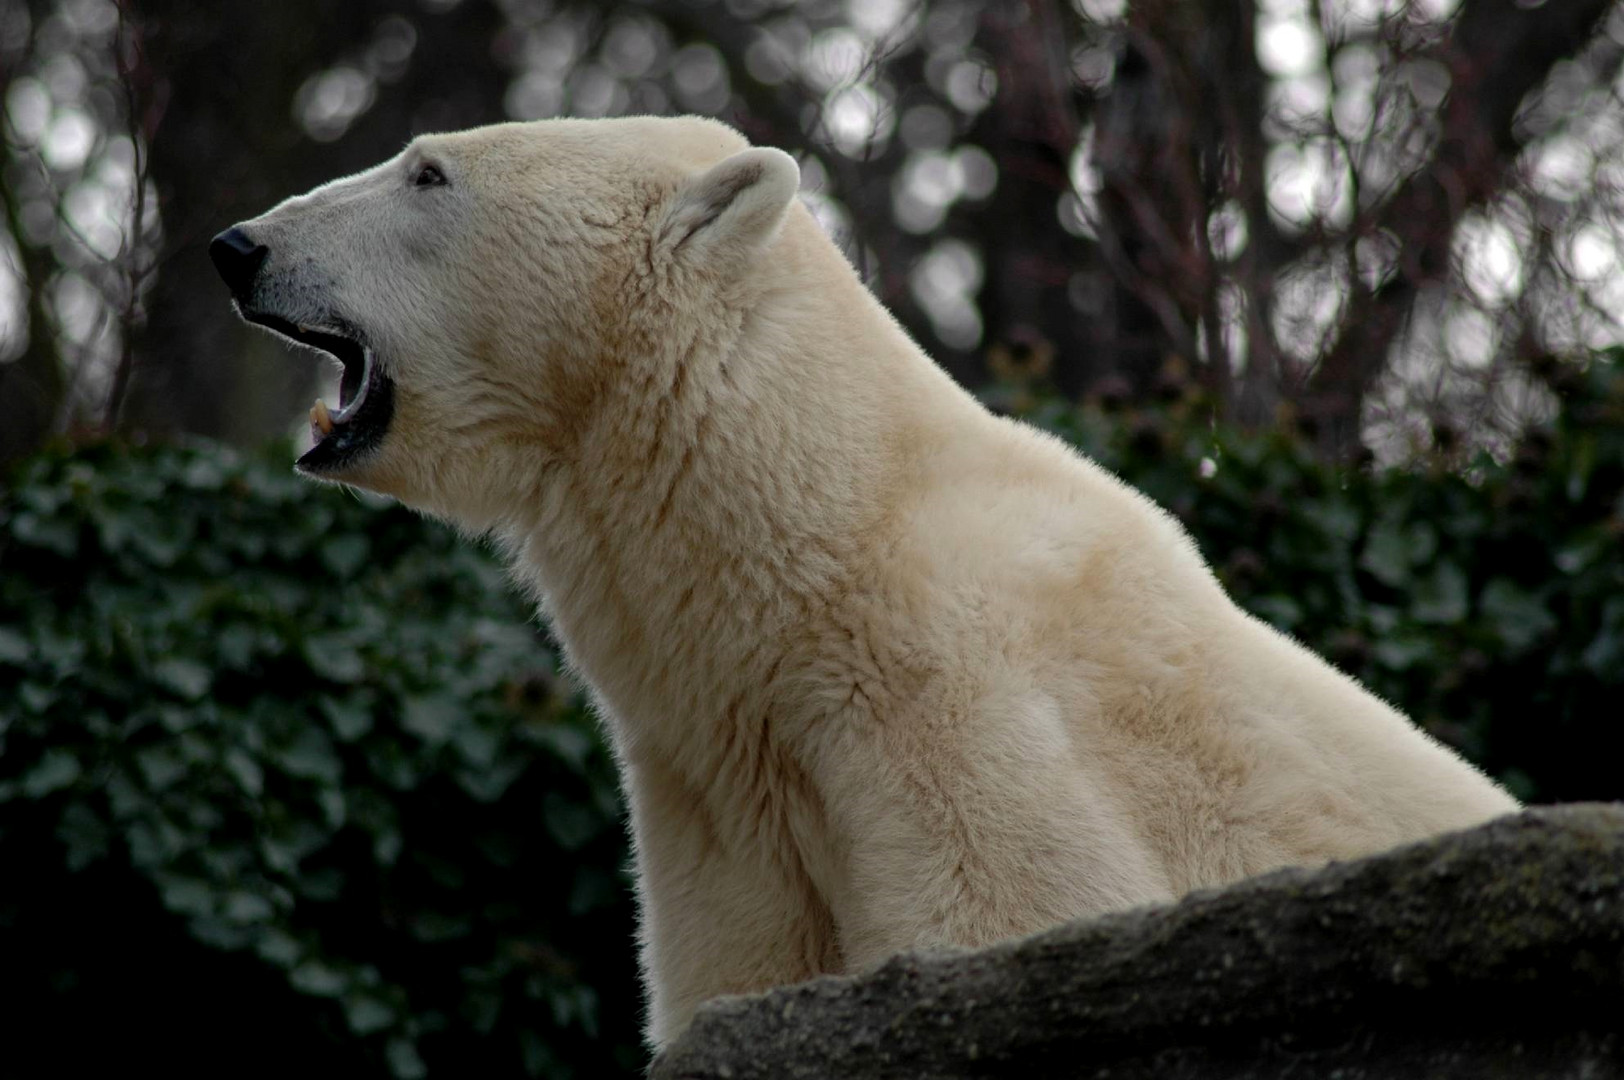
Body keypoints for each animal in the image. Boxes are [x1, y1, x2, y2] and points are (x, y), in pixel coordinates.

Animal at [212, 116, 1520, 1045]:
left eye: (429, 172)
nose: (239, 247)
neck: (817, 555)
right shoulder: (723, 800)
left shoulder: (947, 700)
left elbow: (1022, 911)